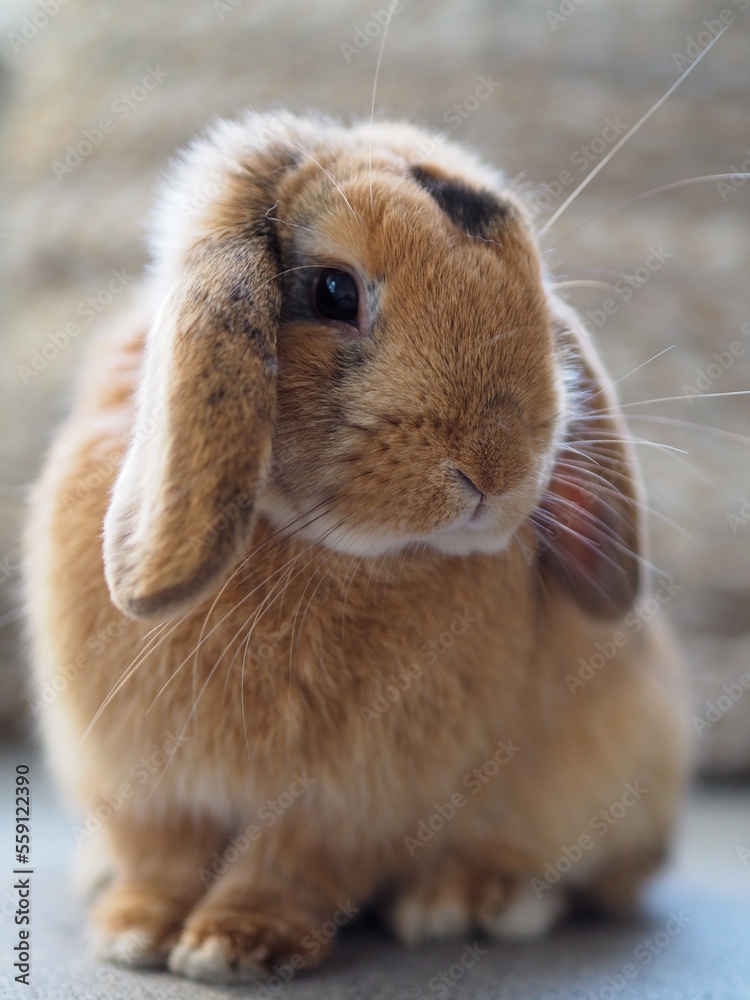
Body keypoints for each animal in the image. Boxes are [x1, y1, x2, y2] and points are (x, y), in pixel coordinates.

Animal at [23, 111, 692, 984]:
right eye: (333, 292)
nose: (501, 467)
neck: (317, 548)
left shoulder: (352, 803)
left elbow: (290, 866)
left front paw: (231, 947)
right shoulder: (147, 781)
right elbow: (161, 856)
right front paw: (133, 933)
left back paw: (468, 903)